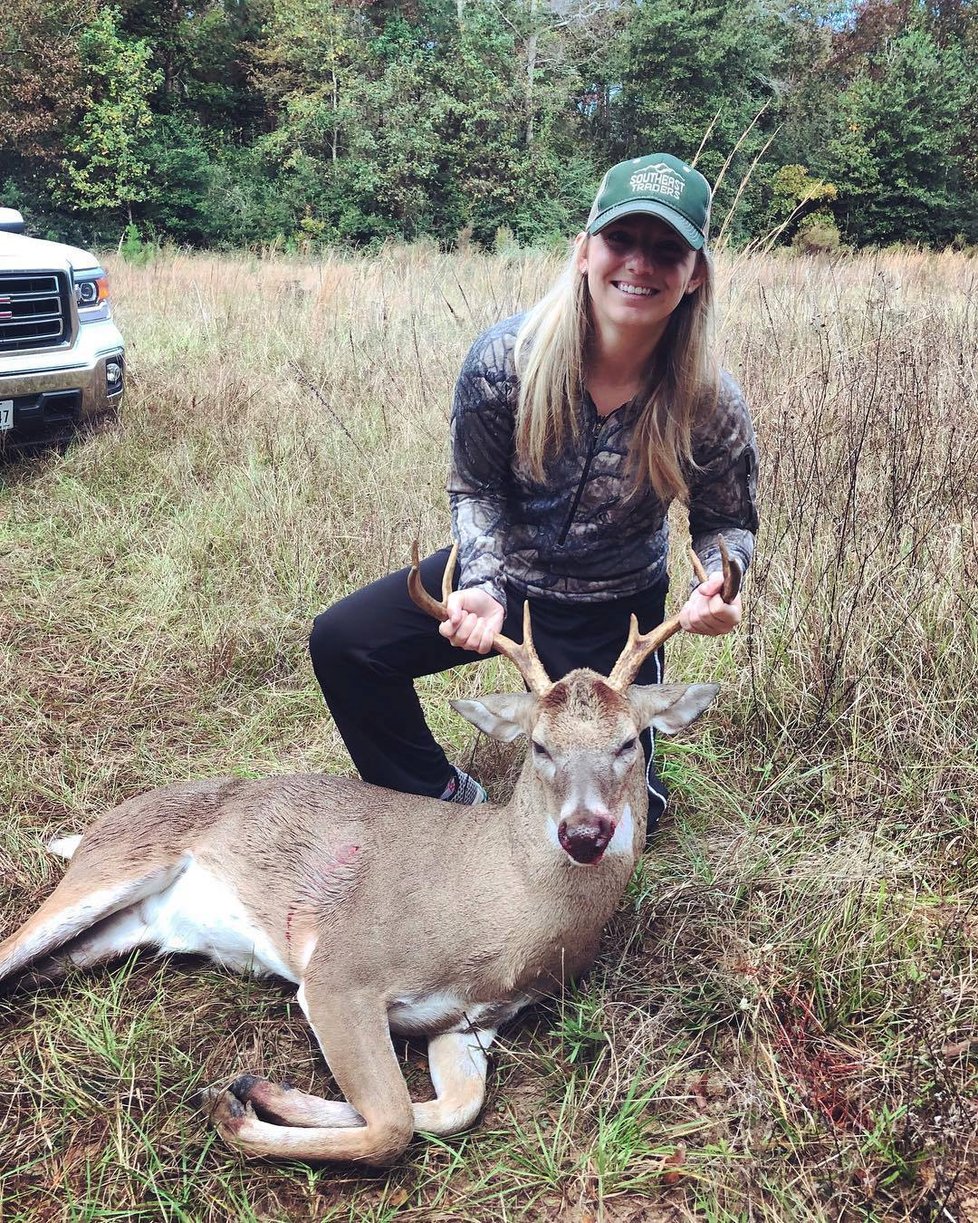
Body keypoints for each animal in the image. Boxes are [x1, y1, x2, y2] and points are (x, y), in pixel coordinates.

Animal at [0, 540, 738, 1159]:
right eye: (538, 745)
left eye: (629, 742)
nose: (584, 833)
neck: (505, 915)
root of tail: (98, 826)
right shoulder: (341, 972)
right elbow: (392, 1123)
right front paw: (231, 1108)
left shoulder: (469, 1024)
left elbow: (451, 1108)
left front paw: (255, 1090)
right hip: (115, 863)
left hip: (126, 928)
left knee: (35, 968)